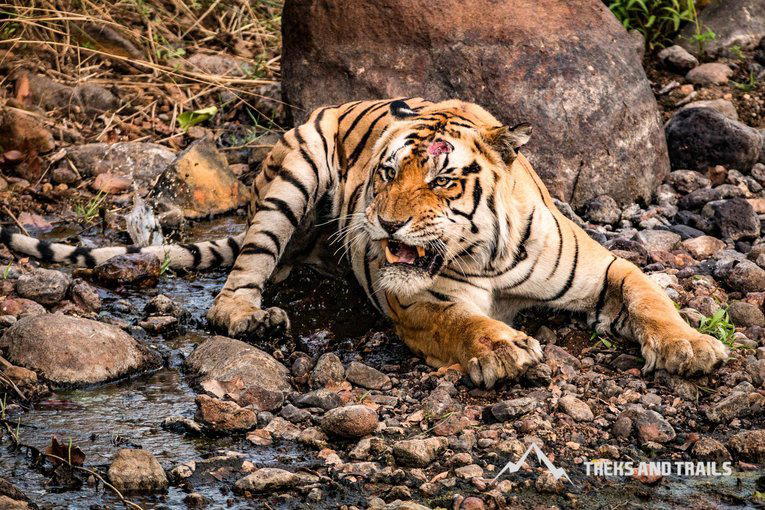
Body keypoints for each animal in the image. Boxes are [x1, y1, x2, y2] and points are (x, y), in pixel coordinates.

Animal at [0, 98, 729, 387]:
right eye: (385, 173)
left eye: (441, 180)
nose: (384, 225)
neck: (487, 255)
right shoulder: (415, 302)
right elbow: (464, 324)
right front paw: (502, 350)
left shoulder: (604, 266)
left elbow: (651, 299)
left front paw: (689, 347)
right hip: (289, 182)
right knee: (241, 277)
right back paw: (251, 314)